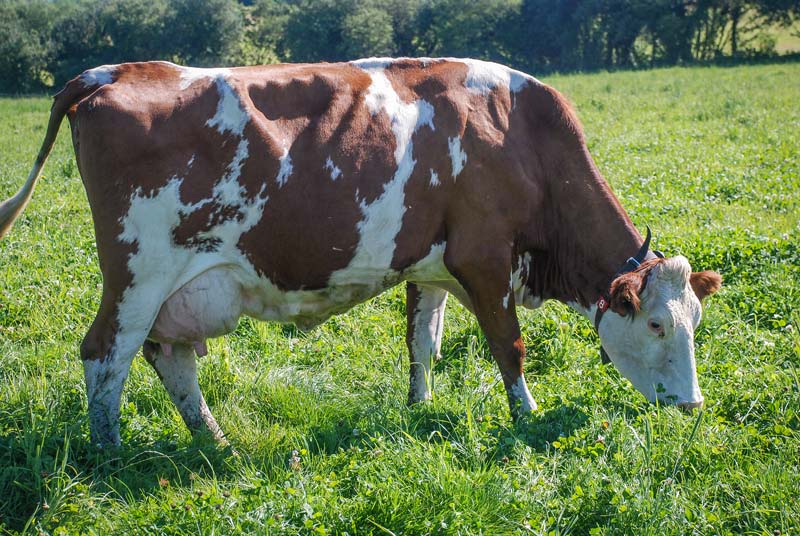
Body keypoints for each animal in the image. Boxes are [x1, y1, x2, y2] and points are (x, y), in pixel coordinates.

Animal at [0, 58, 720, 446]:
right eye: (658, 324)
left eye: (697, 323)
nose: (693, 406)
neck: (519, 134)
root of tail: (115, 71)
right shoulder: (485, 257)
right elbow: (508, 347)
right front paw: (527, 416)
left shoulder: (432, 262)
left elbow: (422, 342)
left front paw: (420, 407)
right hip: (138, 273)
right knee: (107, 356)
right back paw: (110, 453)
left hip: (174, 289)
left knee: (167, 356)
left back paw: (215, 441)